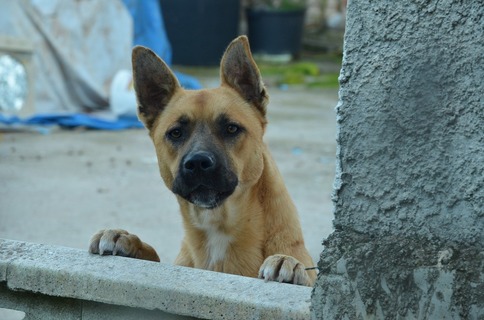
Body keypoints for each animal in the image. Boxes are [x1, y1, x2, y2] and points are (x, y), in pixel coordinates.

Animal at [89, 35, 318, 288]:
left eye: (231, 128)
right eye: (176, 133)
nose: (197, 163)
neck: (218, 227)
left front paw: (290, 266)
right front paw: (128, 241)